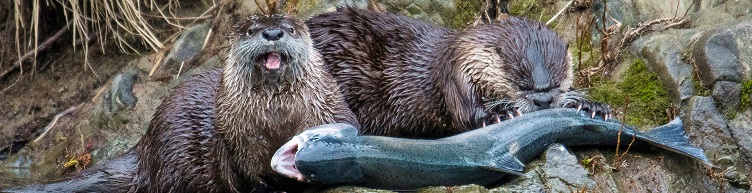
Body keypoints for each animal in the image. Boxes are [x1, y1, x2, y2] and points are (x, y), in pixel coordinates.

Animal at [5, 14, 358, 192]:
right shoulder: (236, 138)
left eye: (290, 28)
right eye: (250, 30)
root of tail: (146, 145)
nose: (272, 33)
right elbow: (248, 176)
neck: (277, 120)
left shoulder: (329, 106)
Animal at [306, 6, 612, 138]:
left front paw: (591, 104)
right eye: (522, 84)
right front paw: (499, 115)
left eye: (558, 83)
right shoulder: (456, 74)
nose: (544, 101)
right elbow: (465, 113)